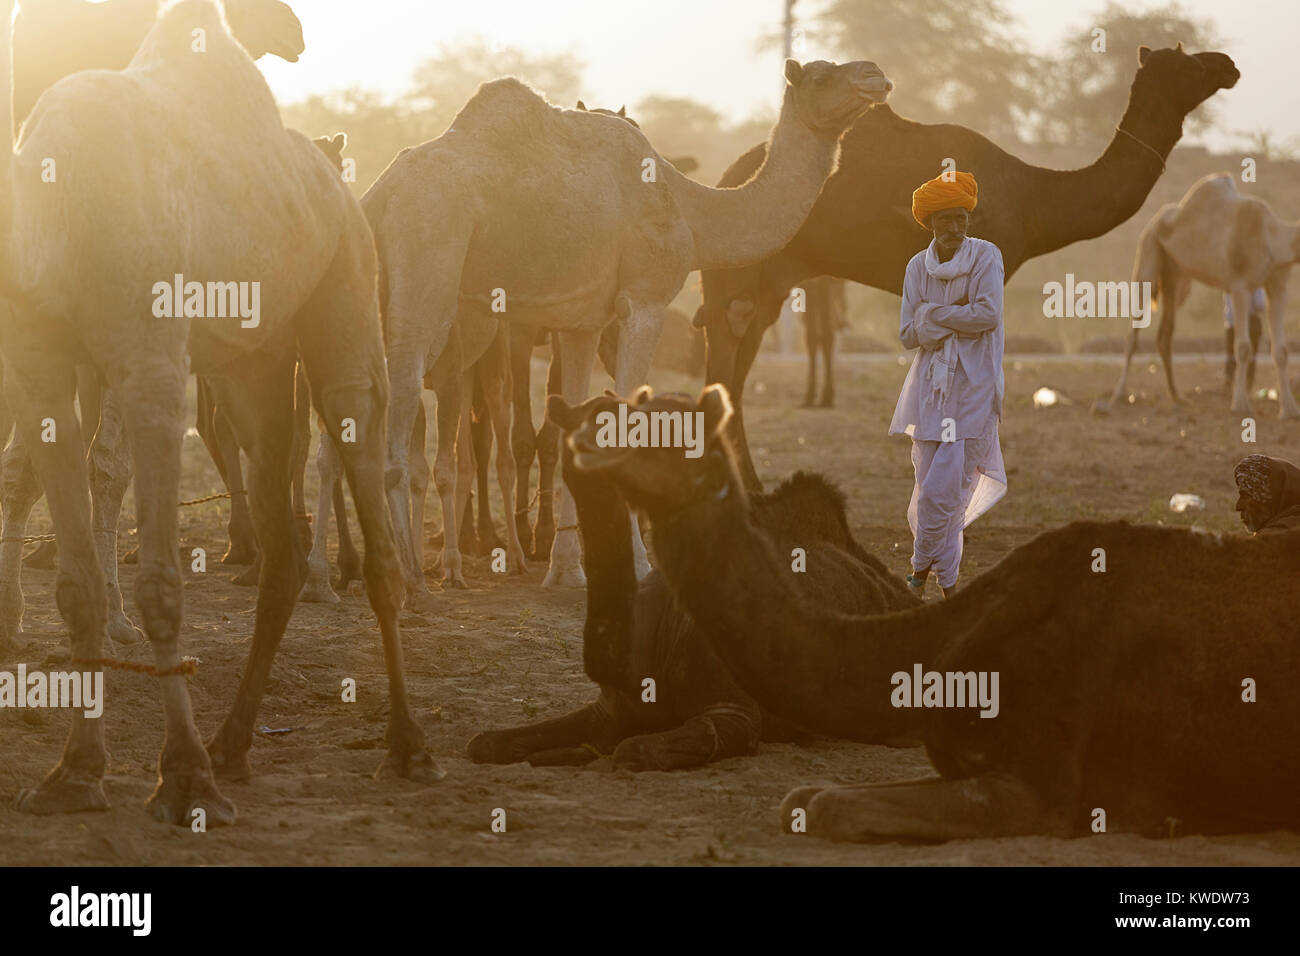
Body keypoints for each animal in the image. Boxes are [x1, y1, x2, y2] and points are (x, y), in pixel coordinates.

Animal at [362, 58, 892, 592]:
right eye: (822, 76)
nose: (874, 75)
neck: (689, 207)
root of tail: (378, 196)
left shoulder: (582, 323)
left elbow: (570, 427)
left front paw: (565, 569)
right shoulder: (646, 299)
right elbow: (627, 423)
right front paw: (638, 567)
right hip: (423, 273)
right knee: (398, 422)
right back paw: (412, 581)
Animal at [568, 385, 1300, 840]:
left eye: (673, 432)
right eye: (635, 406)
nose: (586, 430)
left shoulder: (1043, 786)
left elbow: (825, 806)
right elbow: (803, 800)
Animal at [696, 43, 1239, 489]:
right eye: (1189, 65)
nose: (1227, 65)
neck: (1034, 198)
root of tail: (724, 182)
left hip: (764, 291)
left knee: (733, 382)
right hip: (731, 284)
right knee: (720, 376)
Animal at [1105, 173, 1300, 418]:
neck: (1273, 237)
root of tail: (1159, 218)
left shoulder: (1277, 287)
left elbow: (1281, 350)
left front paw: (1289, 409)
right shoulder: (1240, 287)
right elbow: (1243, 347)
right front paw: (1240, 405)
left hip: (1177, 277)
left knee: (1165, 333)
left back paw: (1177, 396)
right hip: (1148, 253)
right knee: (1134, 332)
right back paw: (1118, 395)